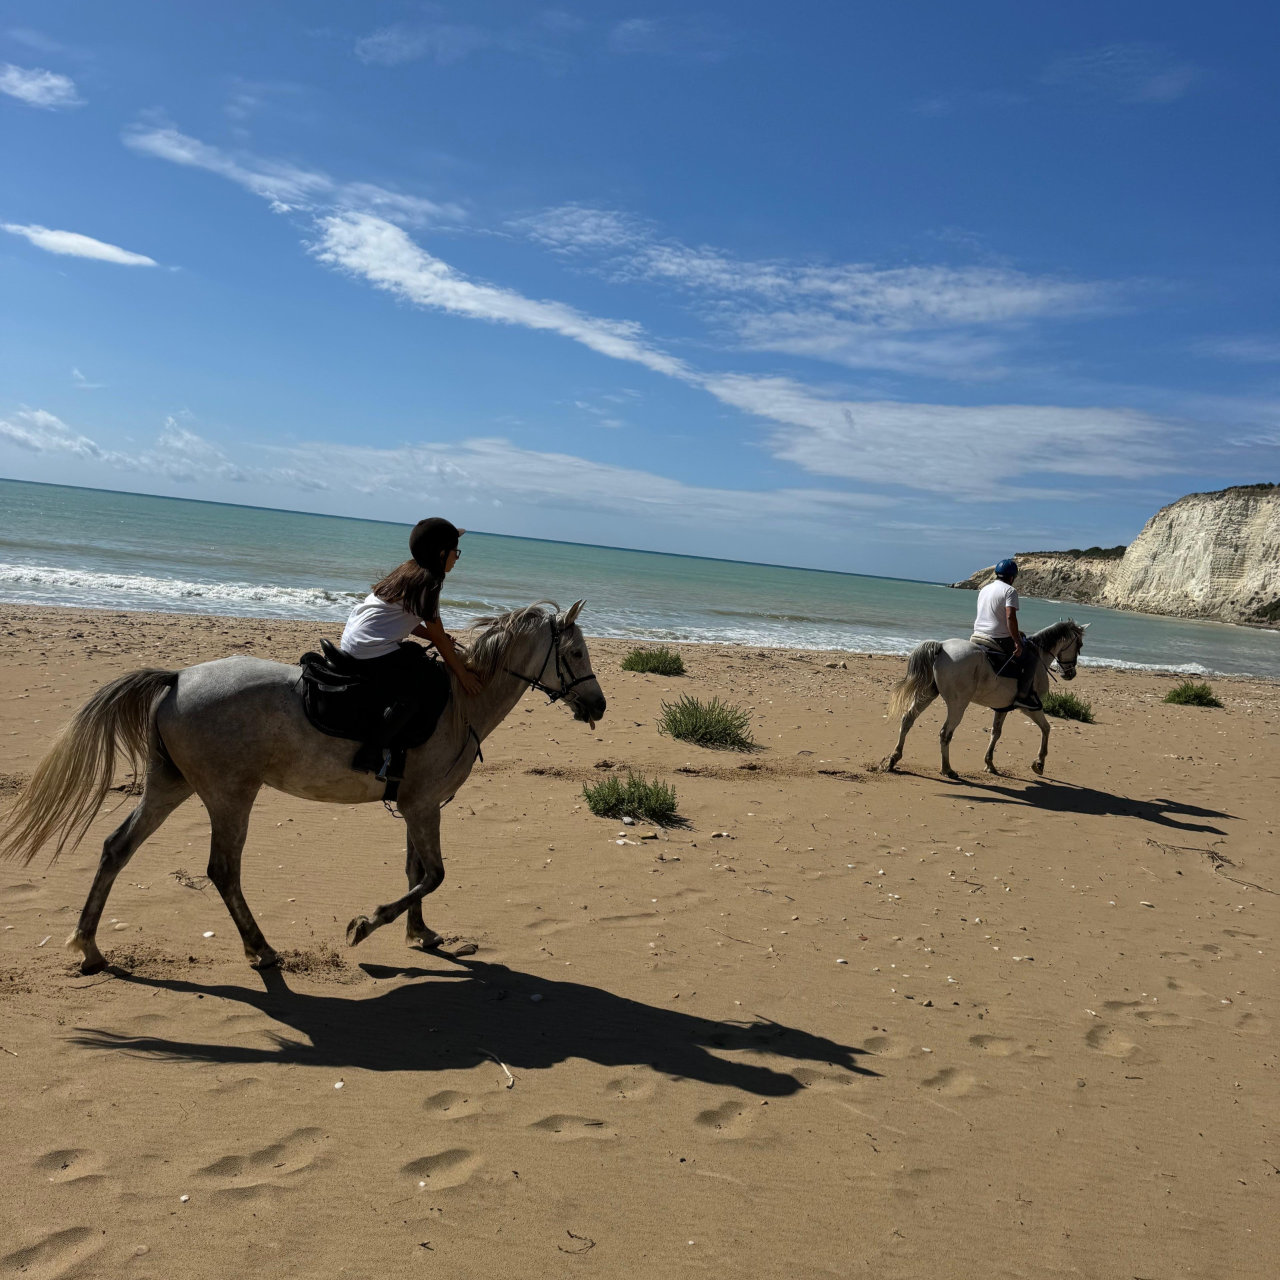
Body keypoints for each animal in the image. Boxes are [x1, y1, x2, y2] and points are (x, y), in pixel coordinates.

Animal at [0, 601, 606, 975]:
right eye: (576, 653)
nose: (598, 705)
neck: (460, 703)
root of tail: (176, 679)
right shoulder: (423, 805)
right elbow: (431, 874)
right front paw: (366, 925)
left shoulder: (417, 806)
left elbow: (415, 871)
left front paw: (420, 935)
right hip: (229, 796)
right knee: (222, 871)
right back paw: (261, 950)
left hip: (170, 786)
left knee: (116, 849)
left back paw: (90, 948)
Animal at [882, 620, 1088, 779]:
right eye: (1079, 645)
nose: (1070, 674)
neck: (1039, 659)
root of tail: (941, 647)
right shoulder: (1031, 708)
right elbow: (1046, 728)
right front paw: (1039, 762)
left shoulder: (1002, 708)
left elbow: (996, 733)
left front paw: (990, 764)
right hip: (958, 705)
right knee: (945, 733)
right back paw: (947, 769)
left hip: (928, 694)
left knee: (908, 719)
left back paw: (893, 759)